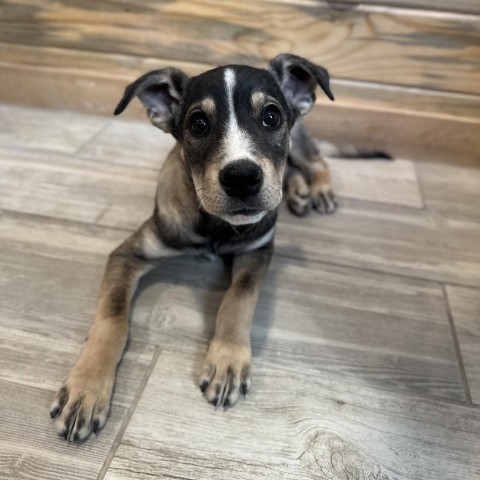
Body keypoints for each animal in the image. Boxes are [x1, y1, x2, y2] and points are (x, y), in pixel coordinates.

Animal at [50, 53, 338, 442]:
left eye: (272, 116)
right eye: (198, 124)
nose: (242, 178)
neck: (213, 224)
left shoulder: (258, 249)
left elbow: (238, 298)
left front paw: (227, 361)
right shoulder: (128, 252)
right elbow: (113, 318)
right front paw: (86, 390)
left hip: (302, 138)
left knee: (316, 161)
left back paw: (318, 191)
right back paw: (299, 193)